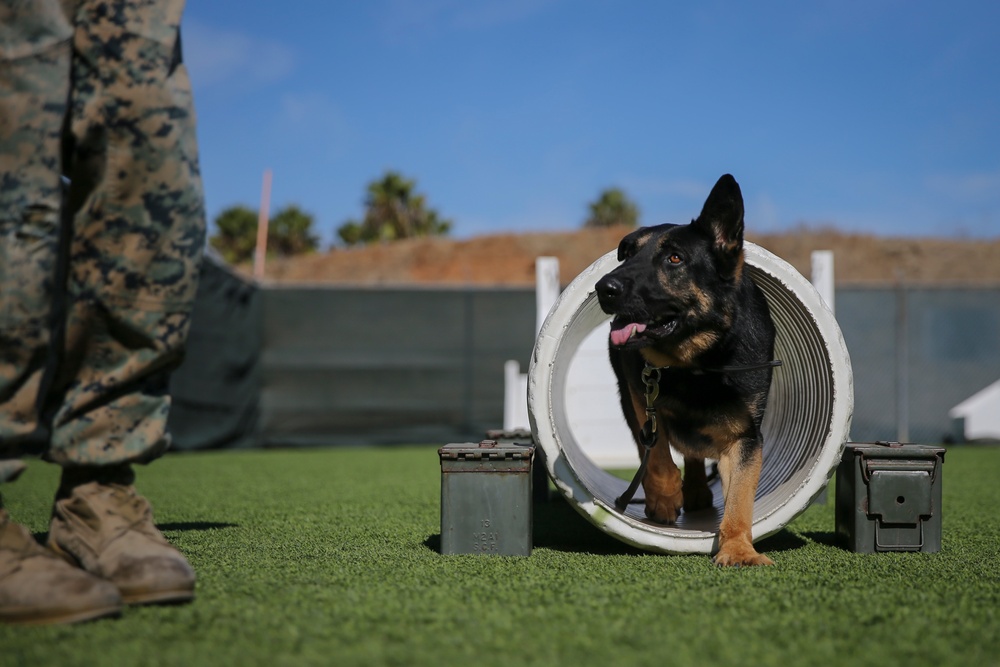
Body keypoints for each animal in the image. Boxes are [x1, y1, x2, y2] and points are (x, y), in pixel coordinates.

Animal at [596, 175, 776, 568]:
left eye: (674, 258)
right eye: (628, 255)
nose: (604, 288)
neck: (698, 363)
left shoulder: (745, 437)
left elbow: (740, 498)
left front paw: (739, 548)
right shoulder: (642, 396)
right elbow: (659, 455)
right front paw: (664, 499)